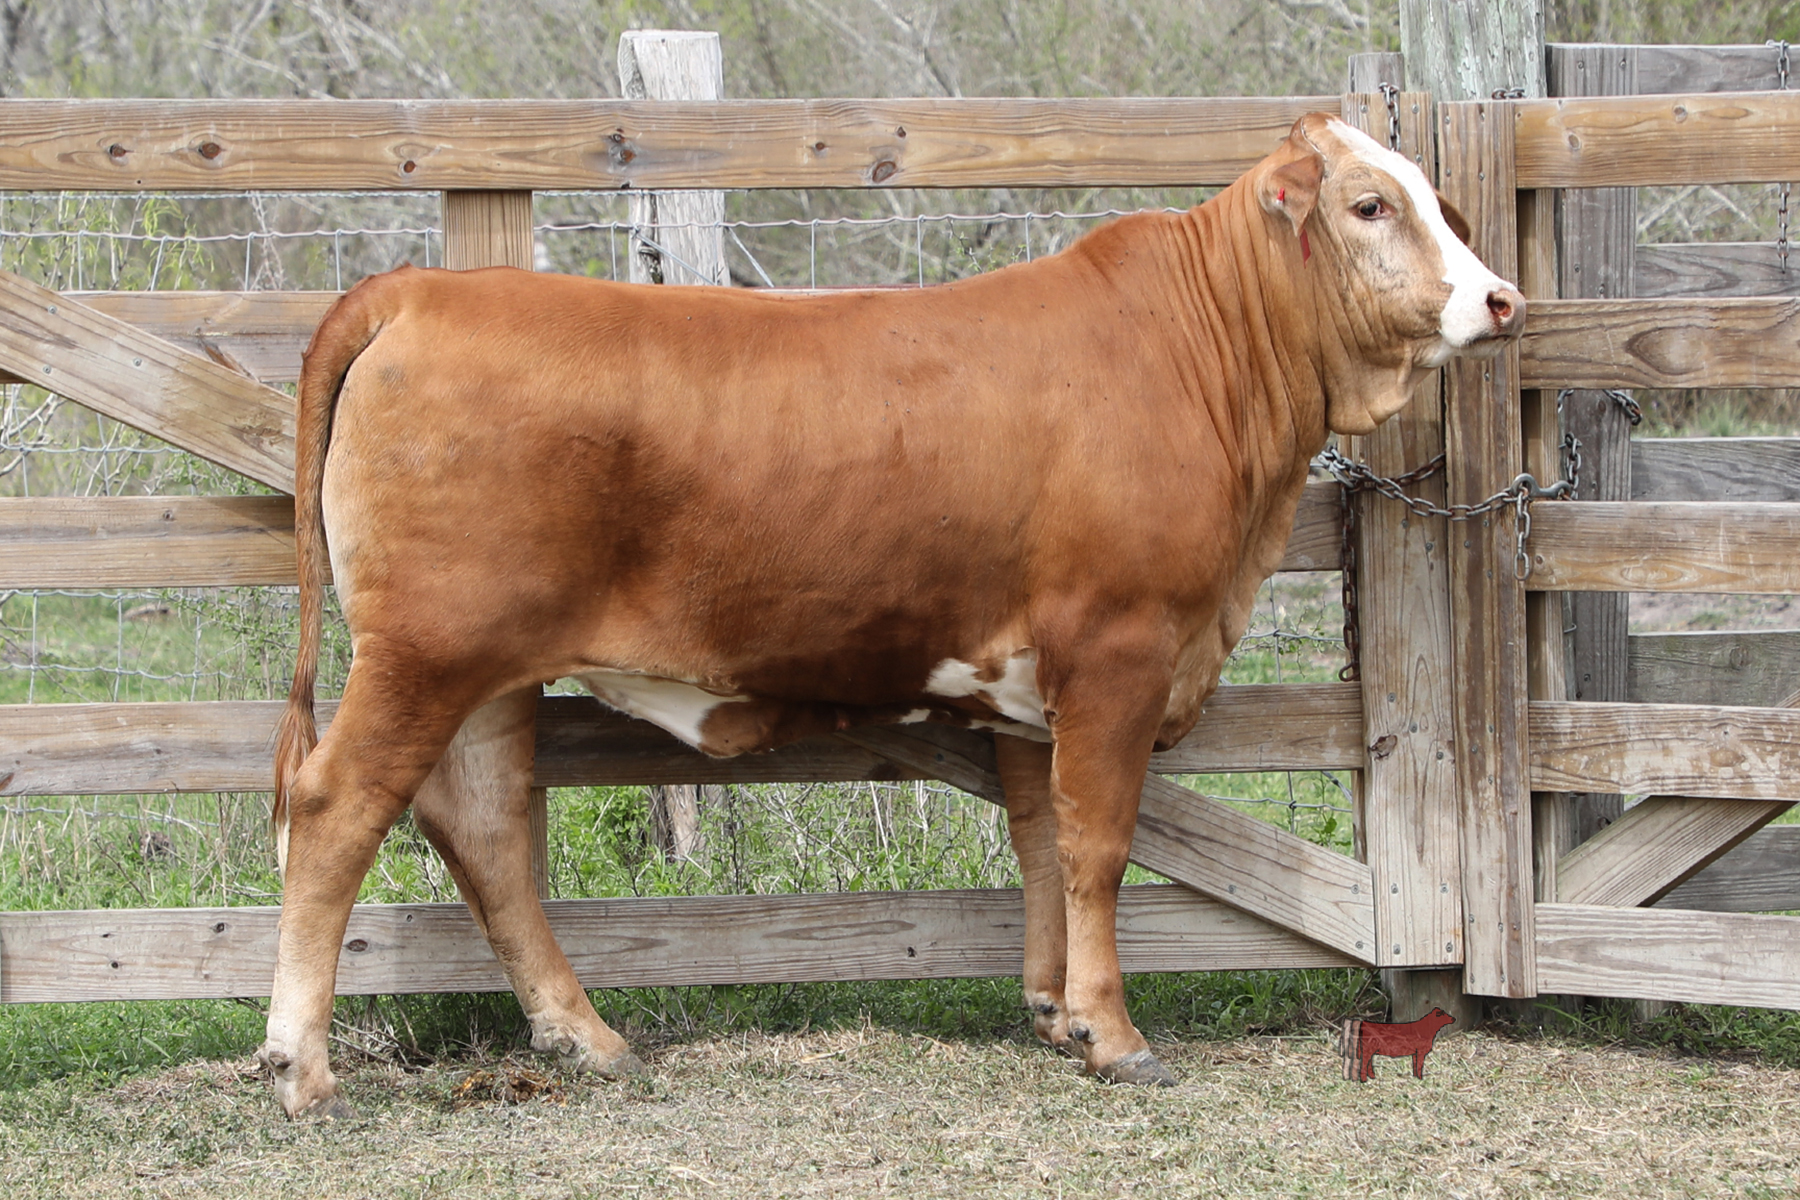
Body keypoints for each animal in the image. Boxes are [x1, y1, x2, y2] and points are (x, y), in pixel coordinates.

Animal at [260, 112, 1524, 1119]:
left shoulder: (1029, 690)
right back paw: (301, 1067)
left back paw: (589, 1038)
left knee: (480, 831)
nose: (1501, 298)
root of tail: (424, 288)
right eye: (1370, 203)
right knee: (335, 812)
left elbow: (1042, 839)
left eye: (1436, 200)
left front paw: (1057, 1013)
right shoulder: (1118, 652)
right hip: (428, 654)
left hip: (484, 674)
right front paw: (1115, 1037)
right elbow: (1100, 847)